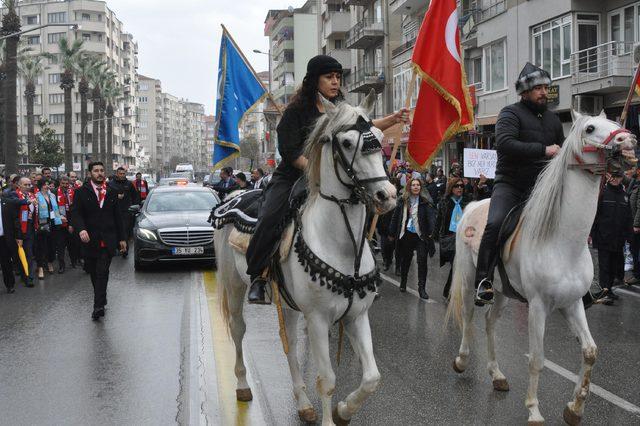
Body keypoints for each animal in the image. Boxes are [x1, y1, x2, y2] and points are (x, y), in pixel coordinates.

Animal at [214, 90, 396, 426]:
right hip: (234, 285)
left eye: (378, 137)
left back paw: (302, 403)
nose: (386, 196)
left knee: (290, 345)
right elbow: (327, 380)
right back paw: (243, 385)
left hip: (288, 304)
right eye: (347, 143)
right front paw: (331, 415)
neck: (341, 244)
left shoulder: (356, 315)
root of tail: (233, 195)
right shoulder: (319, 319)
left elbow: (371, 378)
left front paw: (343, 410)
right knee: (238, 329)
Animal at [448, 111, 636, 424]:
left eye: (614, 124)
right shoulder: (537, 306)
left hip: (502, 291)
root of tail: (474, 202)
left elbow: (590, 352)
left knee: (489, 323)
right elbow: (537, 359)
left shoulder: (572, 303)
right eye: (590, 128)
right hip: (467, 277)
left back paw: (497, 375)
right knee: (469, 317)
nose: (629, 141)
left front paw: (575, 408)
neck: (563, 243)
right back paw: (462, 361)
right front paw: (534, 410)